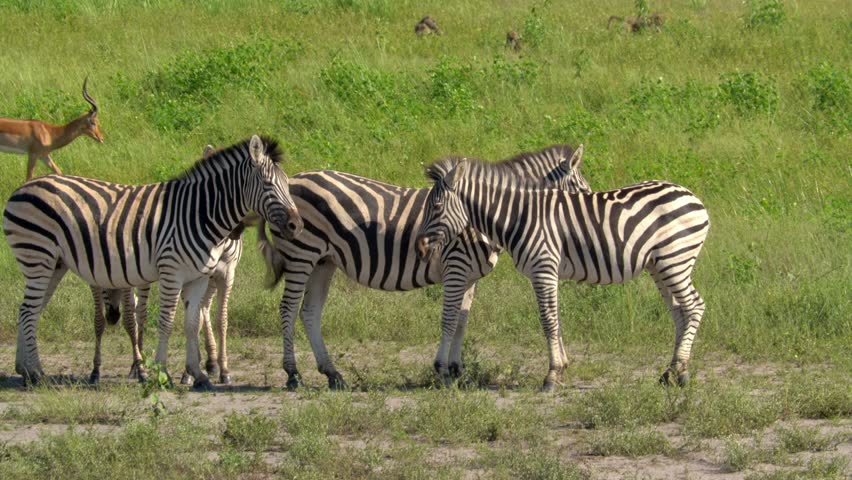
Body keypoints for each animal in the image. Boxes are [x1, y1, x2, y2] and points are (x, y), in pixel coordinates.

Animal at [3, 135, 303, 390]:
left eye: (287, 185)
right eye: (268, 185)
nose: (297, 225)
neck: (199, 213)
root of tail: (23, 187)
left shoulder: (197, 277)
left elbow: (192, 323)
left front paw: (199, 375)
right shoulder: (172, 272)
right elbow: (167, 321)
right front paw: (164, 374)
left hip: (54, 264)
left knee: (28, 310)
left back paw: (24, 370)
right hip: (38, 256)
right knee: (29, 311)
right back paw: (36, 374)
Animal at [256, 144, 591, 389]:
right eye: (585, 194)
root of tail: (292, 180)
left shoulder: (469, 277)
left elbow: (462, 321)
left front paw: (457, 371)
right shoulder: (456, 268)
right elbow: (449, 320)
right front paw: (442, 371)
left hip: (323, 262)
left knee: (310, 312)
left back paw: (333, 374)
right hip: (302, 254)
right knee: (288, 309)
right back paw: (293, 374)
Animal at [416, 154, 710, 390]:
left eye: (436, 207)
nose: (420, 247)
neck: (518, 215)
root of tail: (692, 195)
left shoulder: (543, 267)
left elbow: (547, 320)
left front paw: (552, 376)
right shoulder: (549, 271)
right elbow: (556, 318)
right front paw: (561, 369)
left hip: (675, 259)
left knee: (694, 306)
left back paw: (680, 370)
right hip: (660, 264)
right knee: (679, 312)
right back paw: (672, 372)